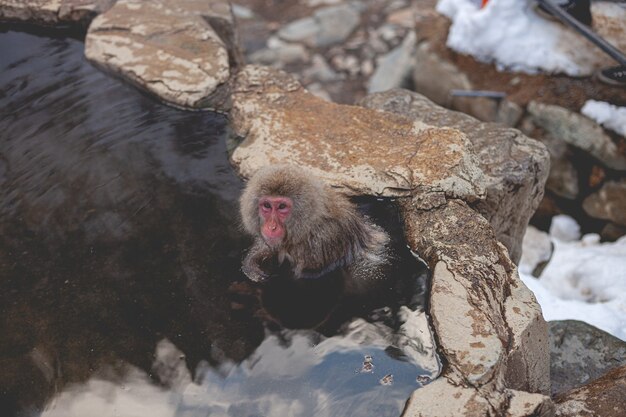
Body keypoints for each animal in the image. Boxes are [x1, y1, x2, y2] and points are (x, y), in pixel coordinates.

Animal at [240, 164, 390, 284]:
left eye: (282, 207)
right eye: (267, 205)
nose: (271, 227)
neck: (308, 225)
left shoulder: (323, 240)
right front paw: (252, 262)